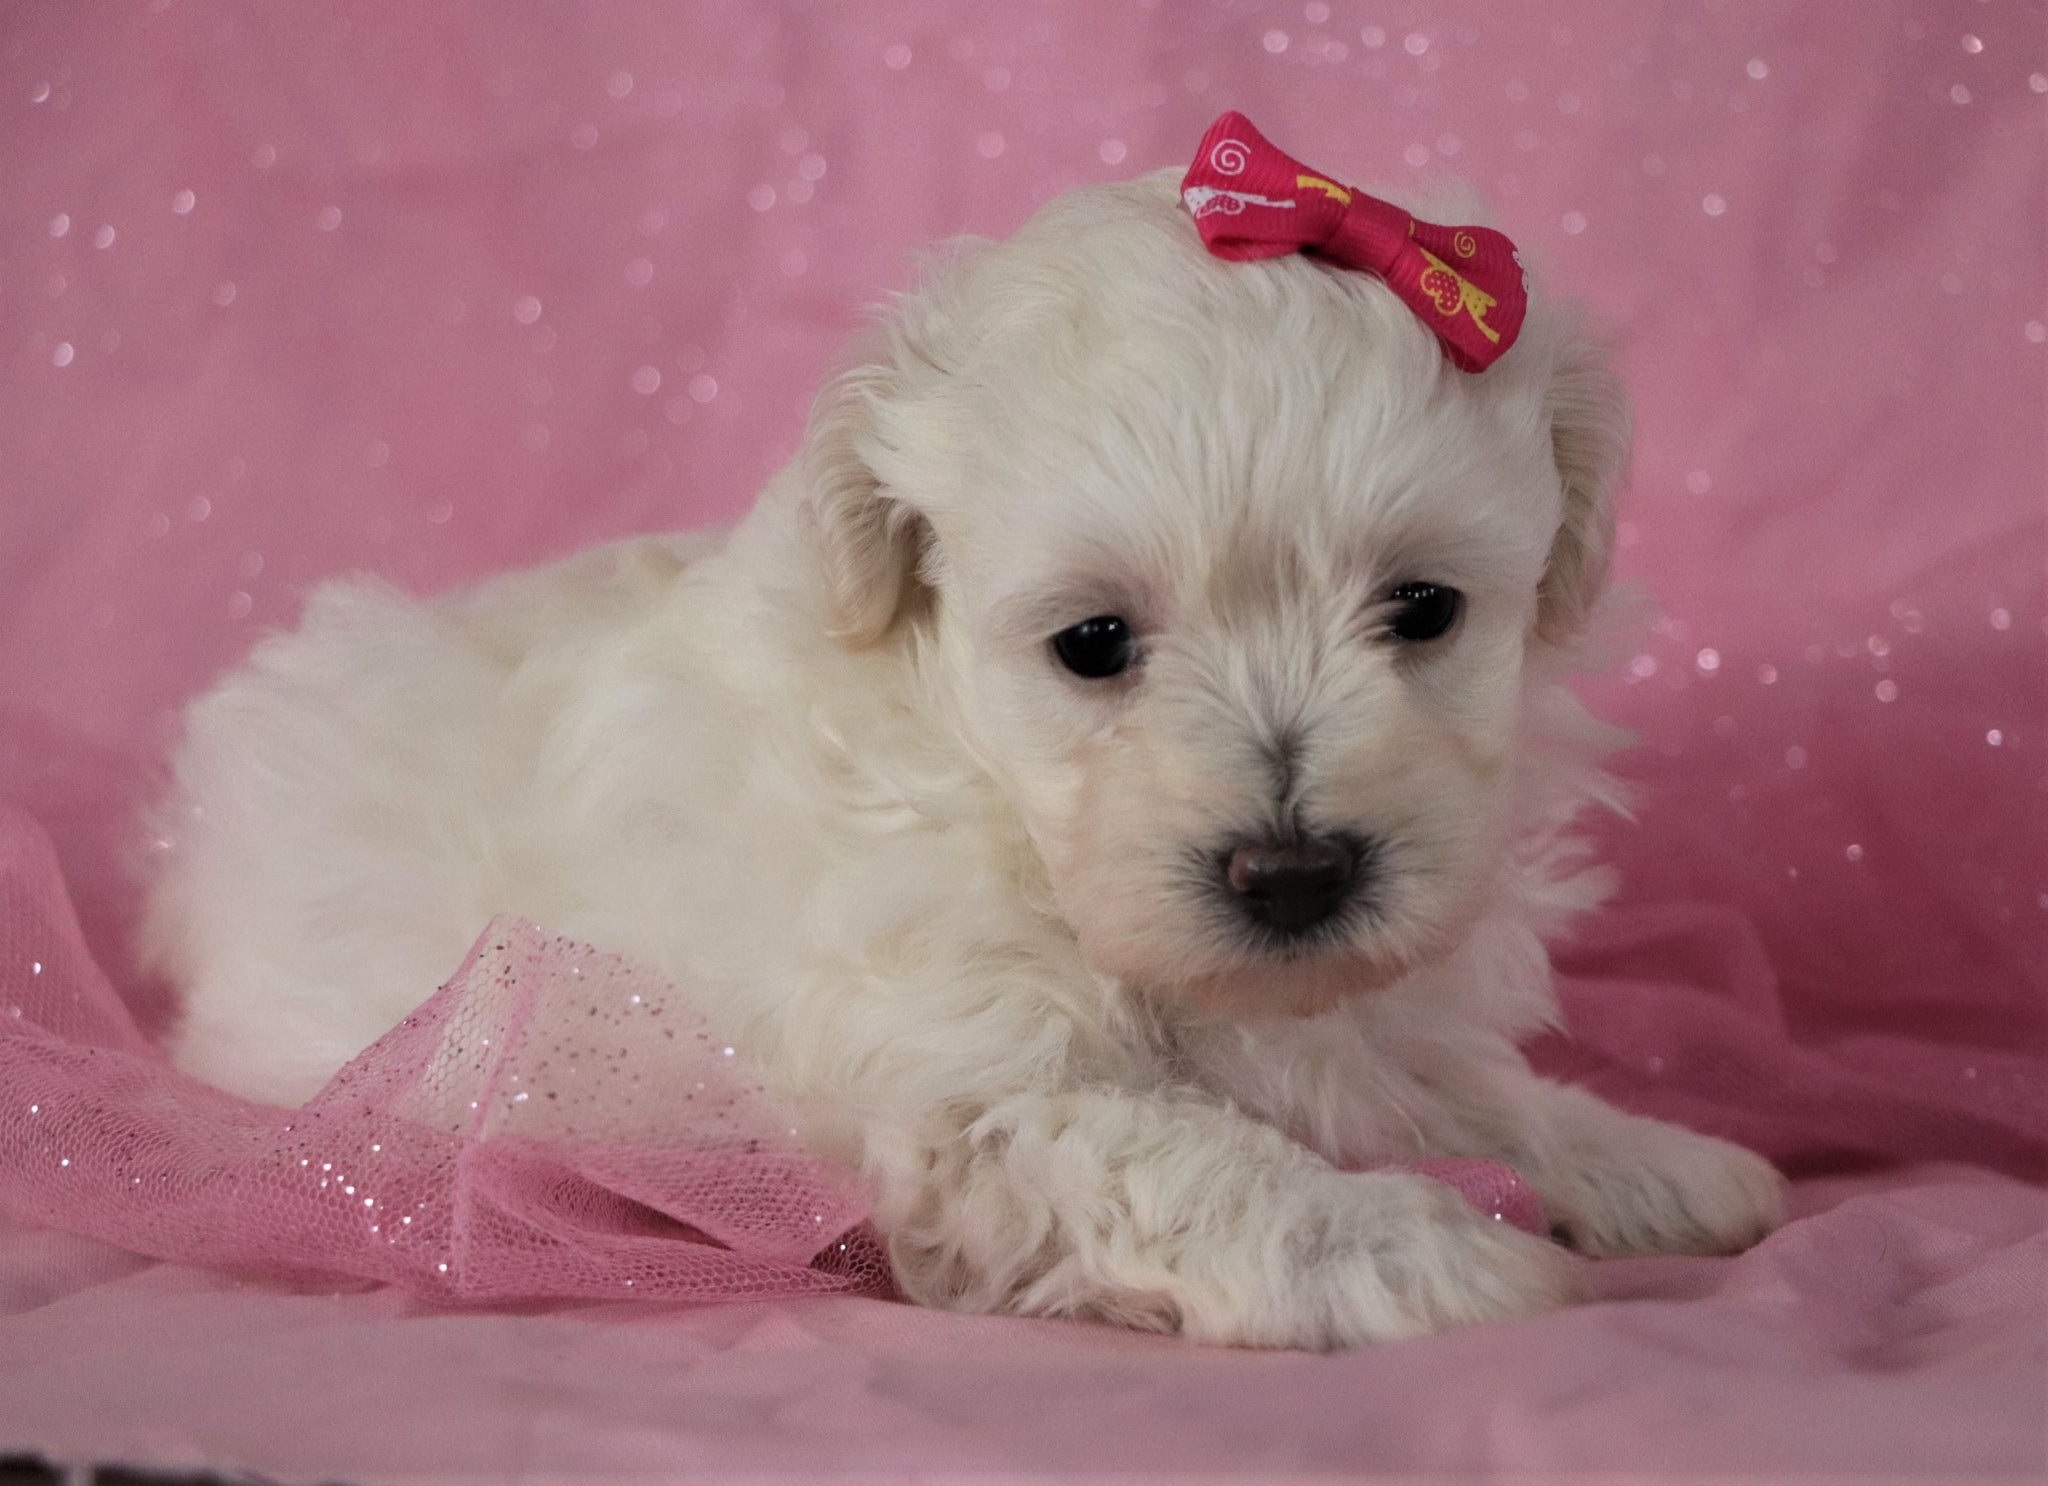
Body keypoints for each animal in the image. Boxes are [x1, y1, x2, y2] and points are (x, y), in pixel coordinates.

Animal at [144, 165, 1785, 1350]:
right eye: (1093, 643)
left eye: (1425, 609)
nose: (1293, 875)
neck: (994, 786)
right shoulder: (974, 1098)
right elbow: (1199, 1165)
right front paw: (1417, 1249)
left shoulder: (1354, 1012)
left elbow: (1458, 1080)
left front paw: (1645, 1159)